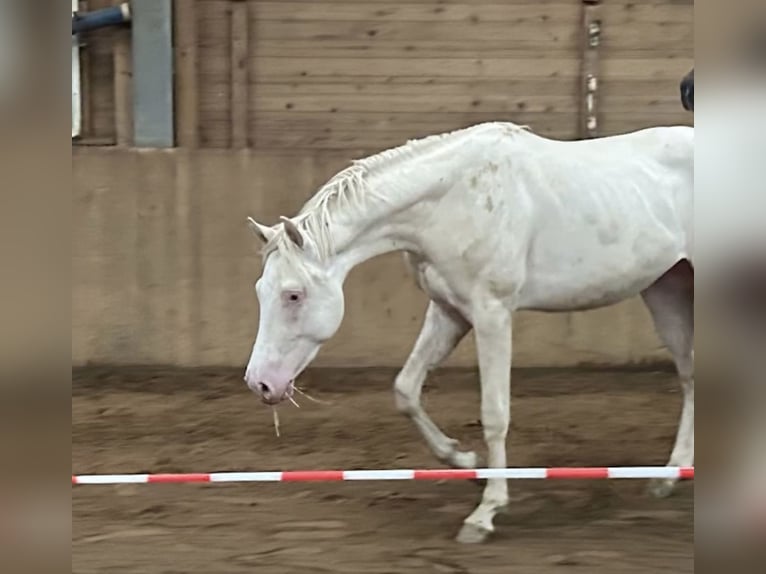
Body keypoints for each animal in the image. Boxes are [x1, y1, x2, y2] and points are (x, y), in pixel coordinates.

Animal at [244, 121, 696, 544]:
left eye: (293, 295)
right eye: (261, 290)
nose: (260, 384)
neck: (453, 200)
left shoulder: (492, 315)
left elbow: (494, 414)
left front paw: (485, 512)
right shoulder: (449, 312)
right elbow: (406, 390)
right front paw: (465, 461)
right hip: (665, 289)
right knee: (690, 376)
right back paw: (670, 475)